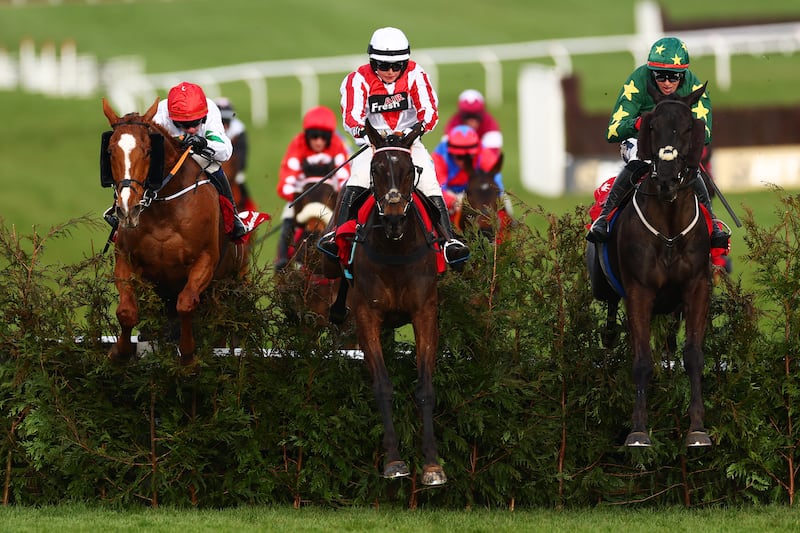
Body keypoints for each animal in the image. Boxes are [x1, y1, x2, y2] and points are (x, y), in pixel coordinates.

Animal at [102, 97, 247, 366]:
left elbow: (186, 304)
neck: (164, 209)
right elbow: (126, 311)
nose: (128, 208)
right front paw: (120, 351)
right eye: (110, 152)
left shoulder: (205, 260)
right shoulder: (127, 260)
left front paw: (188, 354)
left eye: (149, 150)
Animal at [324, 120, 450, 486]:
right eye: (376, 169)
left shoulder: (424, 313)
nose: (394, 218)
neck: (395, 248)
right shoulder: (367, 316)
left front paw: (432, 465)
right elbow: (382, 386)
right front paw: (394, 461)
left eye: (409, 170)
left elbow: (425, 388)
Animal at [588, 83, 712, 446]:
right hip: (605, 288)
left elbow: (693, 355)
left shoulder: (696, 287)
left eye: (688, 127)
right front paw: (639, 430)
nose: (668, 179)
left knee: (669, 341)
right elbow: (641, 360)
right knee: (610, 330)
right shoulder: (639, 291)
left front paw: (697, 428)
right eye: (653, 126)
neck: (669, 229)